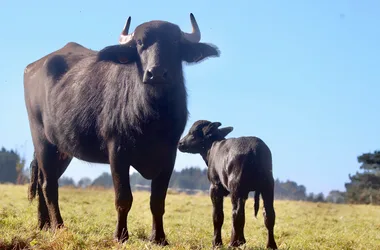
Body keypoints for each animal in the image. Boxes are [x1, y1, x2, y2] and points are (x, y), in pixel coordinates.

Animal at [24, 13, 220, 244]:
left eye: (174, 42)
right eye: (140, 43)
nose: (156, 73)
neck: (153, 116)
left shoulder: (169, 155)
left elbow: (157, 201)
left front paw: (159, 237)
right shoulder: (117, 152)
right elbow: (123, 198)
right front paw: (121, 235)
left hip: (62, 150)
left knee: (43, 180)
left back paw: (44, 224)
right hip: (42, 140)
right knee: (49, 185)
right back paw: (58, 226)